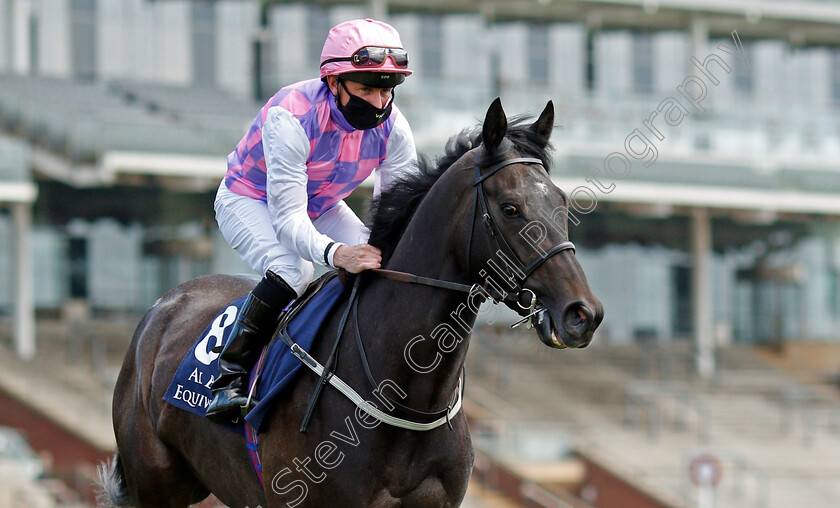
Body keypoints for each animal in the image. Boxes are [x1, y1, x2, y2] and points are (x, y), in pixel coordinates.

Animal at [100, 100, 604, 508]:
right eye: (510, 208)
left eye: (561, 202)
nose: (583, 314)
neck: (405, 395)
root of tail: (165, 305)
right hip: (153, 486)